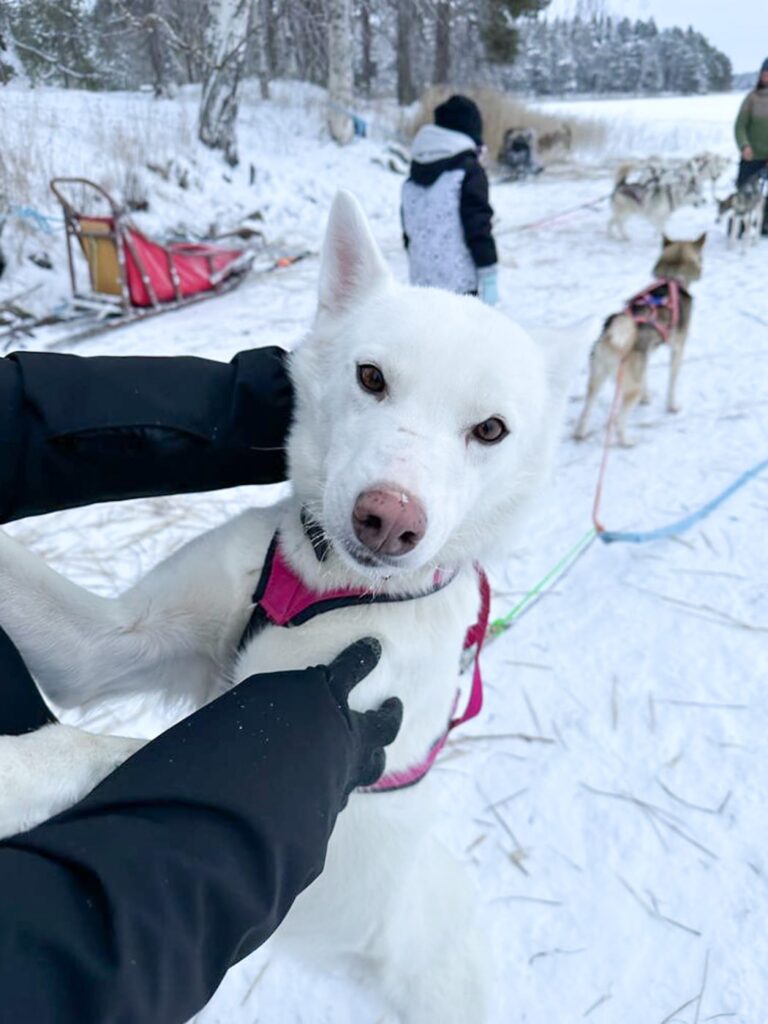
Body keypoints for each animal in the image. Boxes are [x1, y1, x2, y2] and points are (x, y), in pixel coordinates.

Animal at [0, 193, 573, 1024]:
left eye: (490, 429)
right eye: (371, 377)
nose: (389, 520)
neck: (320, 586)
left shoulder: (319, 720)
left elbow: (104, 749)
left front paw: (16, 770)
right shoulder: (105, 645)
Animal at [573, 234, 708, 446]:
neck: (672, 278)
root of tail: (613, 340)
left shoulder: (648, 351)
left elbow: (646, 377)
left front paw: (647, 397)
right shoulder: (677, 349)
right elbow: (672, 383)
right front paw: (672, 406)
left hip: (597, 378)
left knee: (587, 407)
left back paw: (580, 432)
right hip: (628, 390)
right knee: (619, 419)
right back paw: (626, 441)